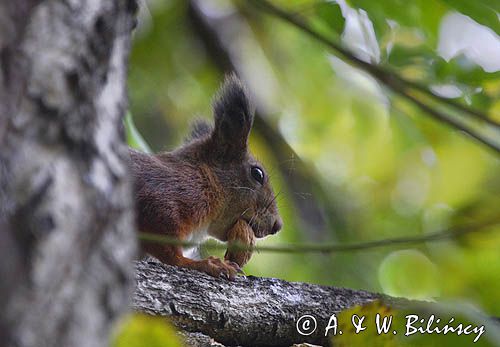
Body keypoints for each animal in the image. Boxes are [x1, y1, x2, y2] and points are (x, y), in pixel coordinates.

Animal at [130, 75, 282, 280]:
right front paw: (207, 264)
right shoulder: (166, 198)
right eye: (257, 174)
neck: (207, 179)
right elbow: (169, 251)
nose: (277, 225)